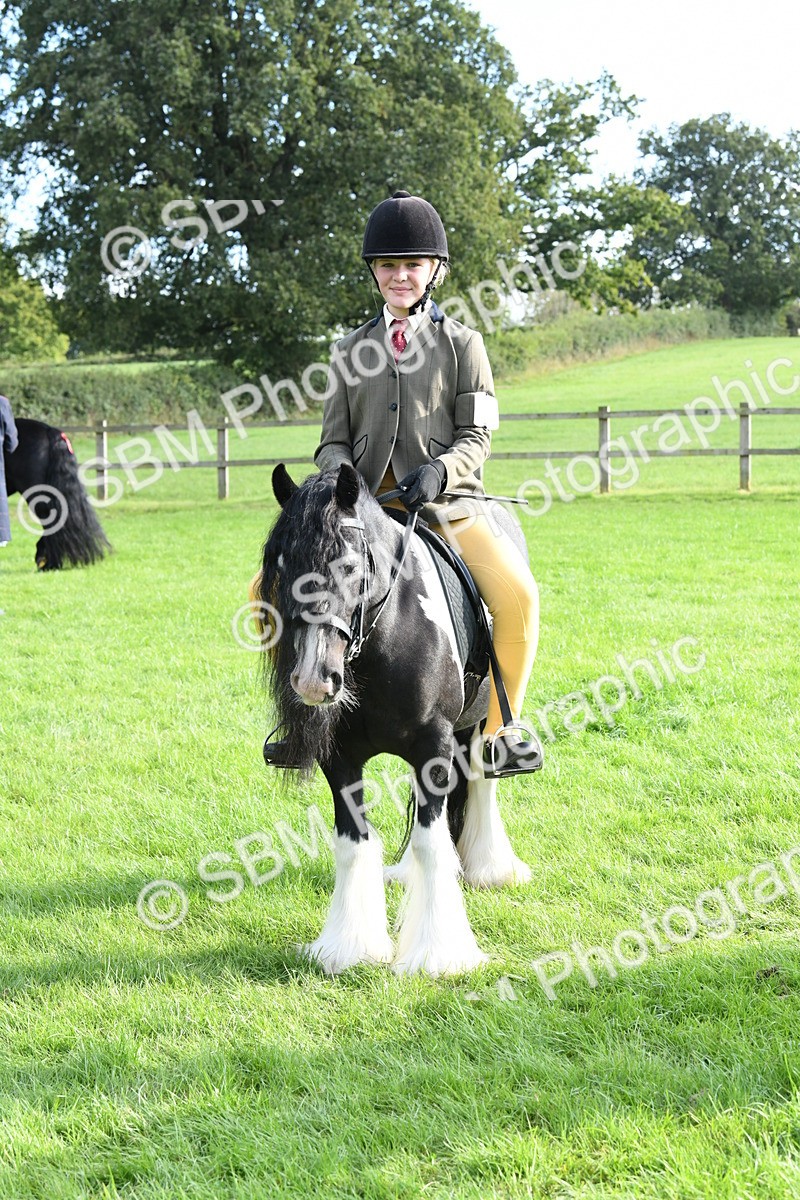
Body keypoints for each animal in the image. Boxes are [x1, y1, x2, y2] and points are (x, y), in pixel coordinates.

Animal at [259, 461, 532, 976]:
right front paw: (349, 947)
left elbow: (430, 842)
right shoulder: (341, 759)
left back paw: (491, 868)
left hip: (478, 726)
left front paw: (438, 955)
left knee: (481, 779)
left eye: (348, 565)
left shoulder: (433, 747)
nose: (312, 679)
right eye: (280, 566)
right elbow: (353, 842)